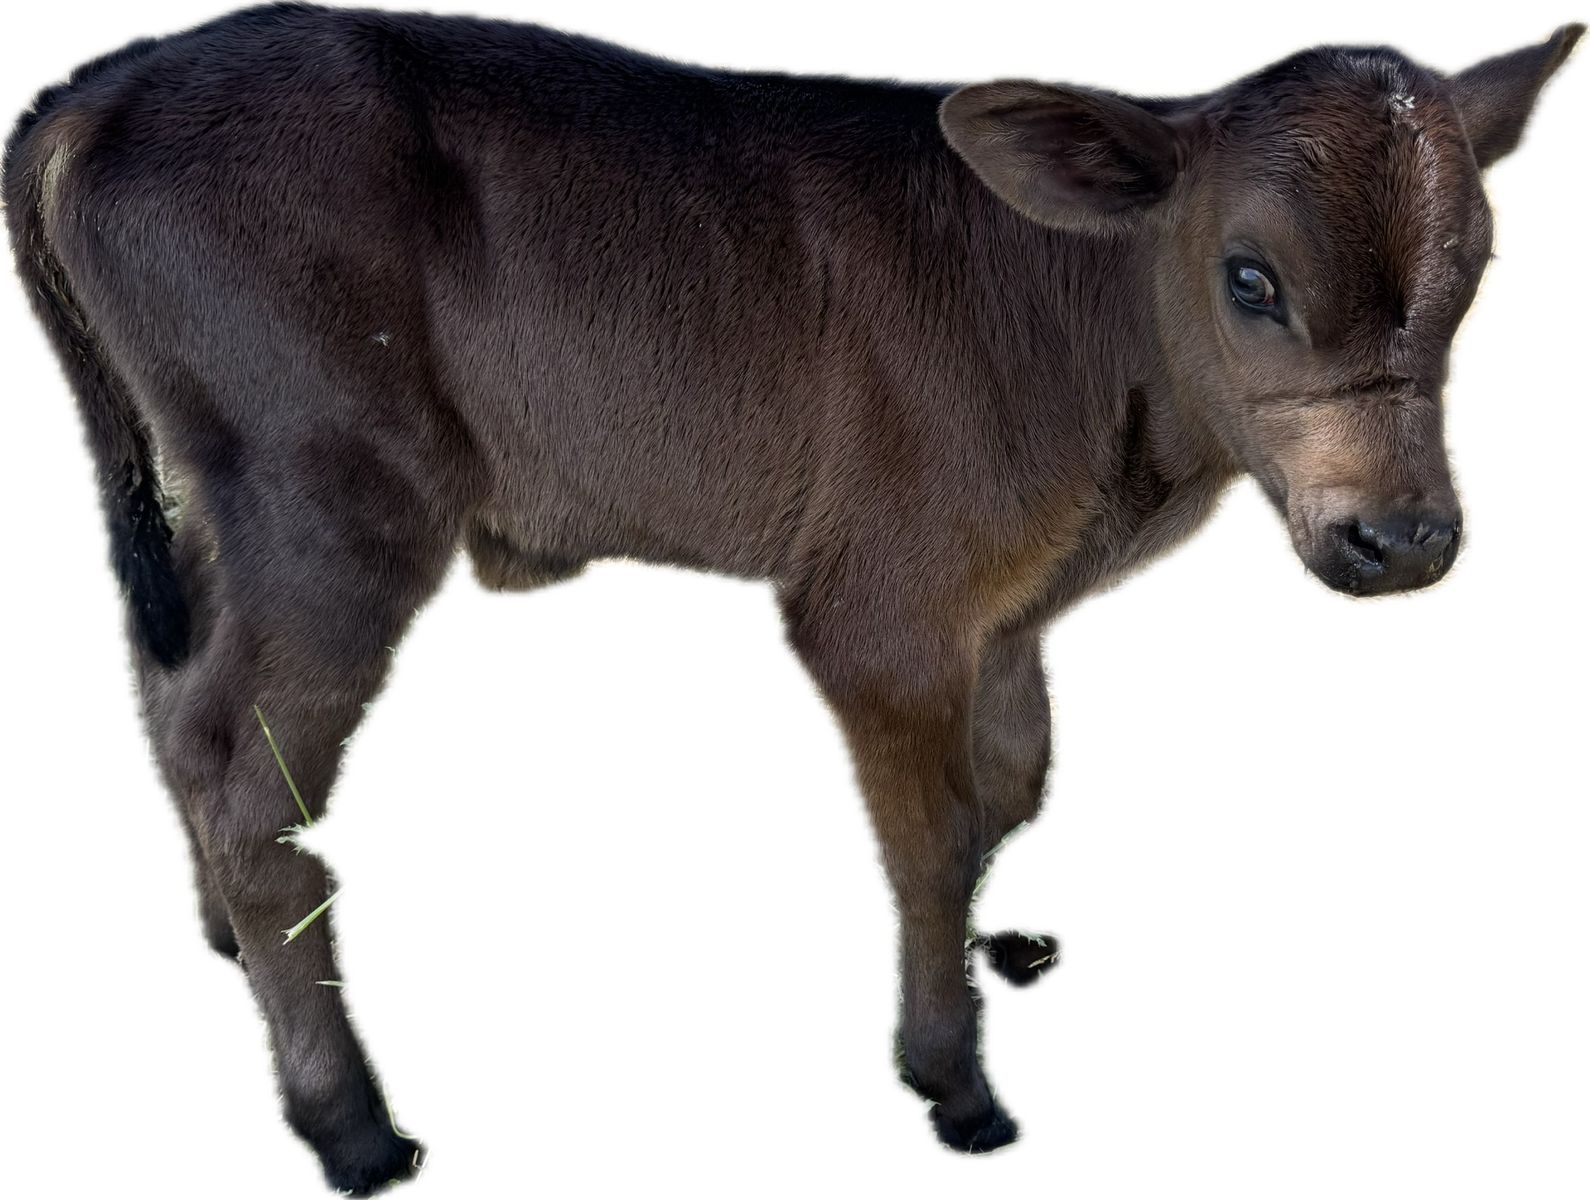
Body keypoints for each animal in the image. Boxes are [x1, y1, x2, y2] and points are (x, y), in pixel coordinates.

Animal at [4, 4, 1580, 1192]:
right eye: (1250, 277)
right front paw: (951, 1079)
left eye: (1474, 276)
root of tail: (104, 83)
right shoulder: (881, 610)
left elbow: (1009, 785)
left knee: (178, 709)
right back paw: (351, 1122)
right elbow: (930, 835)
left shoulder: (1004, 609)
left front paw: (1000, 952)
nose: (1400, 536)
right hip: (331, 499)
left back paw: (228, 941)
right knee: (245, 775)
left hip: (212, 499)